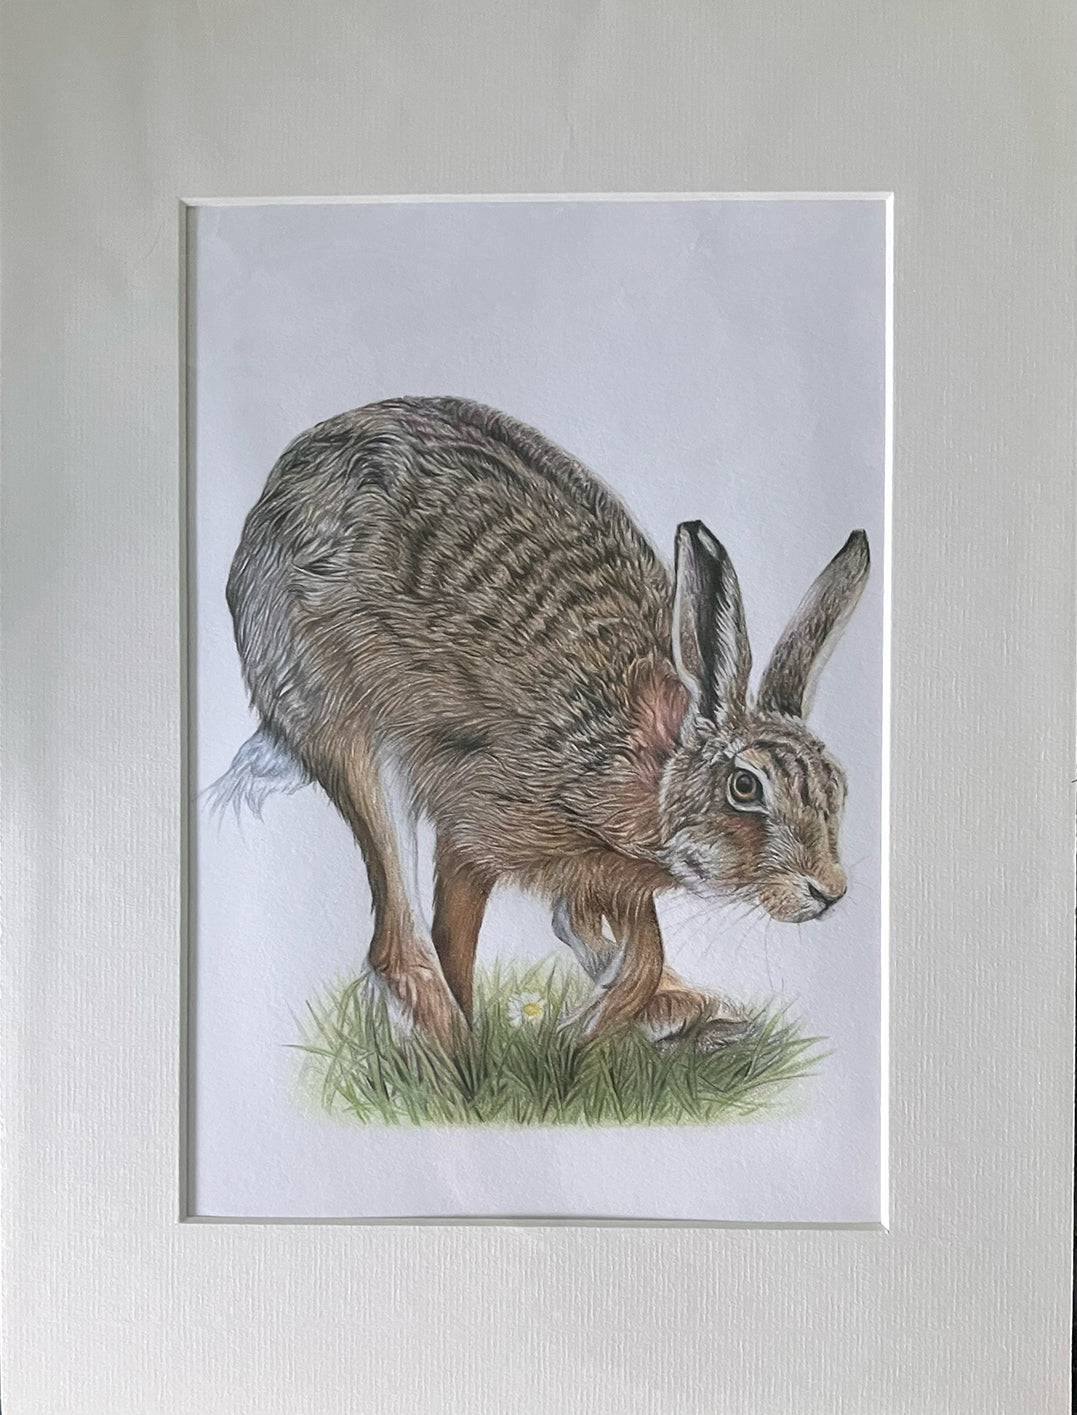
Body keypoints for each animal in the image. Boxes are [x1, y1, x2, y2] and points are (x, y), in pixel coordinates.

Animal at [214, 396, 870, 1049]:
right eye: (745, 786)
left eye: (837, 787)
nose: (829, 891)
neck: (650, 758)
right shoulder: (479, 817)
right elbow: (467, 935)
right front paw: (551, 1039)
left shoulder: (604, 866)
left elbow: (633, 942)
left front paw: (616, 1014)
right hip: (337, 715)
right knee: (395, 931)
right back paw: (449, 1045)